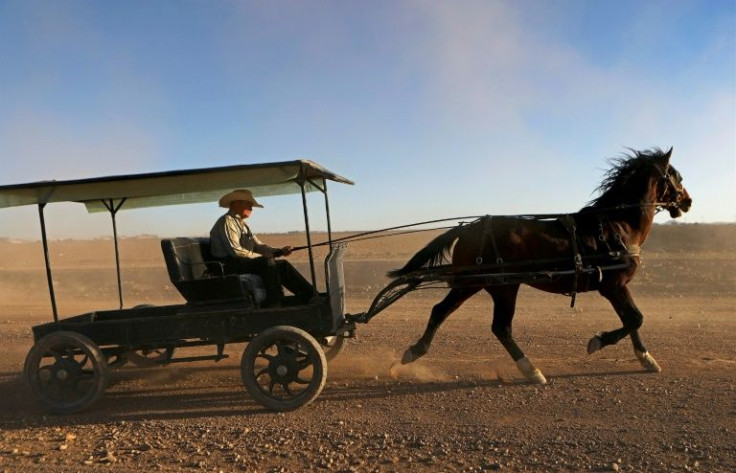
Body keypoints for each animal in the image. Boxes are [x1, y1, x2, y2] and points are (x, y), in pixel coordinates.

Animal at [388, 148, 692, 384]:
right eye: (677, 176)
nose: (688, 201)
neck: (616, 225)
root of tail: (470, 228)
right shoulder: (612, 285)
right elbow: (635, 318)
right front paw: (597, 342)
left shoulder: (617, 286)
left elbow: (632, 320)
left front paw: (646, 359)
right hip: (501, 286)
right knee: (499, 327)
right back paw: (530, 370)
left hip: (477, 283)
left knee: (443, 311)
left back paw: (415, 351)